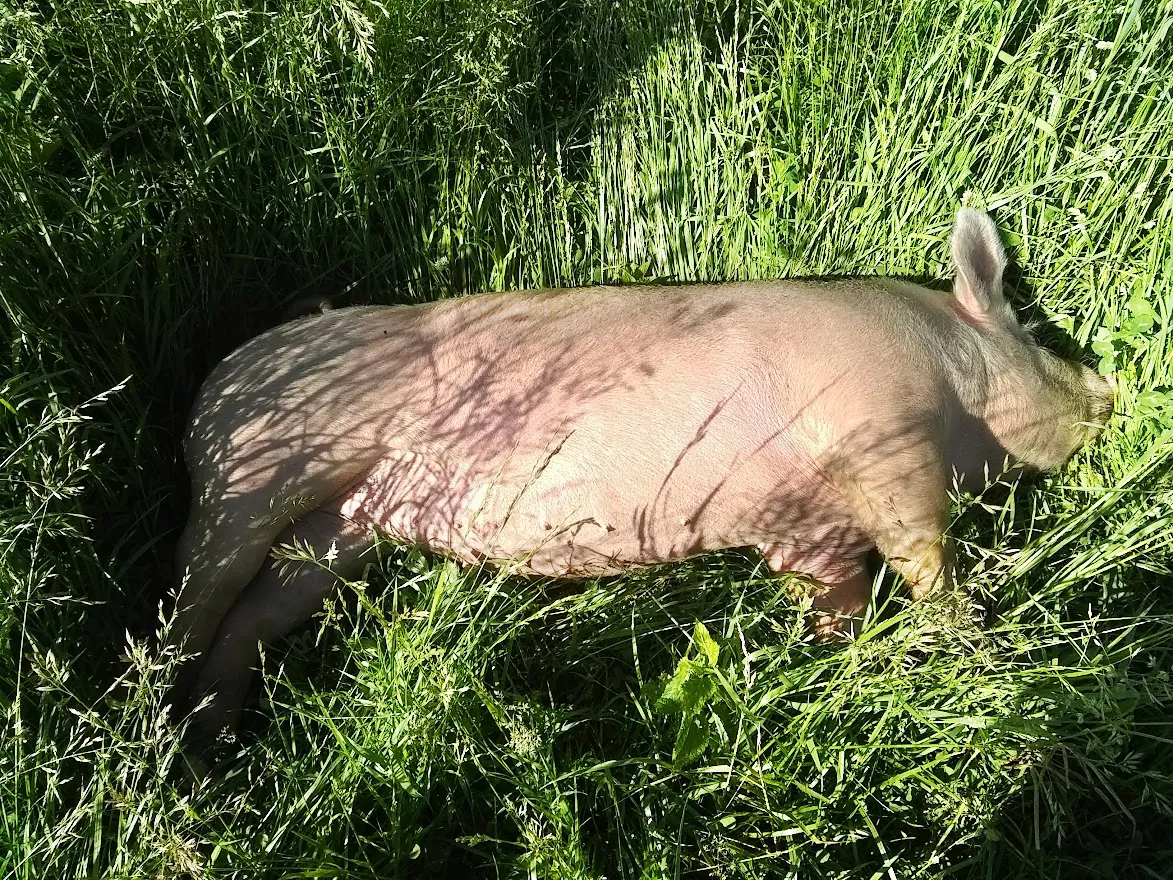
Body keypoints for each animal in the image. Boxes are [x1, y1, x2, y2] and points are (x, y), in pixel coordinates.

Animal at [170, 207, 1114, 737]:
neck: (954, 379)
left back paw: (210, 739)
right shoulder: (877, 432)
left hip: (342, 526)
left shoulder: (807, 534)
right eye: (1032, 332)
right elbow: (923, 555)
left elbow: (837, 597)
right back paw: (163, 721)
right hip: (255, 473)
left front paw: (836, 668)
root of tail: (216, 380)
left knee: (255, 615)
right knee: (193, 593)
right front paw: (980, 657)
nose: (1108, 389)